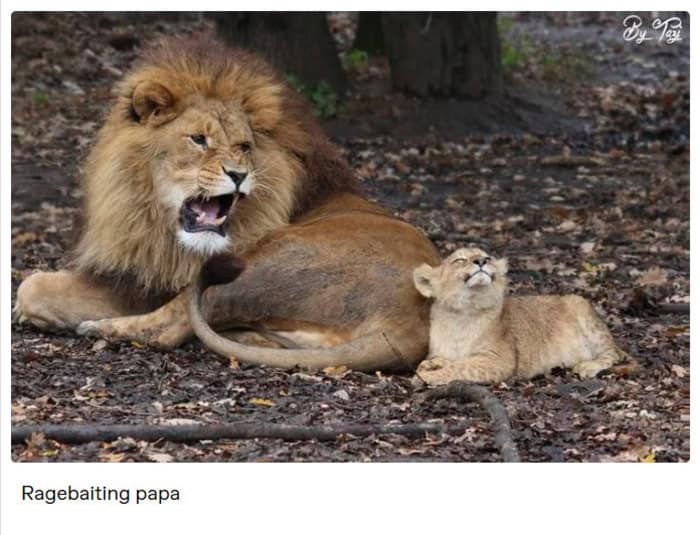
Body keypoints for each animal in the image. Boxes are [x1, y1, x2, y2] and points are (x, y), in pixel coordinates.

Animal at [14, 36, 439, 371]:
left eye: (244, 146)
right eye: (198, 139)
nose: (238, 174)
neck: (153, 219)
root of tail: (407, 323)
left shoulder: (159, 283)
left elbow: (31, 285)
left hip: (261, 263)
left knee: (173, 324)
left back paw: (100, 329)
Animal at [412, 248, 632, 384]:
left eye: (487, 257)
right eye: (459, 260)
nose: (481, 261)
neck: (464, 311)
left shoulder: (499, 360)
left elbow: (461, 367)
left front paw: (426, 377)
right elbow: (449, 361)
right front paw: (431, 365)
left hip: (579, 303)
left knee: (611, 354)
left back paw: (588, 366)